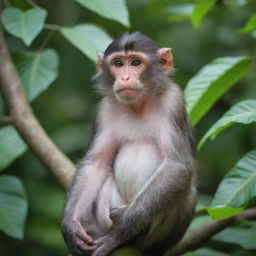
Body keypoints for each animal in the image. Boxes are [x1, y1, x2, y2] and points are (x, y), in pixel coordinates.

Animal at [61, 32, 196, 256]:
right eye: (118, 63)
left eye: (135, 63)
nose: (124, 78)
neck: (138, 105)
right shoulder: (105, 109)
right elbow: (96, 164)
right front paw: (70, 225)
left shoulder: (173, 101)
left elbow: (176, 165)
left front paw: (122, 228)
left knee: (184, 189)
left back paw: (127, 238)